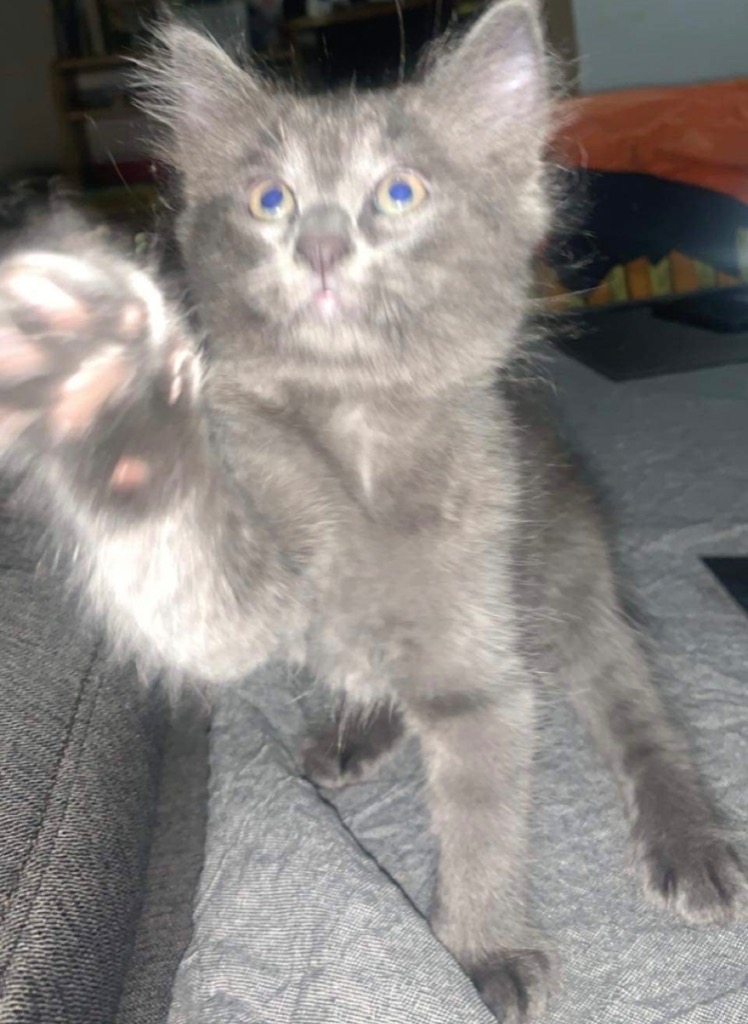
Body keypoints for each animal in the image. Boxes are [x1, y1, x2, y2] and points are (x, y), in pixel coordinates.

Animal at [0, 2, 745, 1021]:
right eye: (269, 200)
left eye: (399, 192)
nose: (319, 247)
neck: (356, 429)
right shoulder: (240, 585)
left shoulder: (482, 668)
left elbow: (482, 817)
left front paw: (479, 952)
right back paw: (360, 729)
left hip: (572, 585)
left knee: (635, 707)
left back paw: (689, 839)